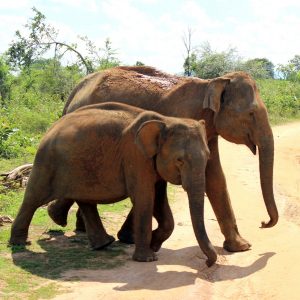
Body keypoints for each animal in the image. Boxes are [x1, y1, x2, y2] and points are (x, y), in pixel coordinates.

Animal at [9, 102, 216, 264]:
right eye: (180, 160)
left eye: (208, 156)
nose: (207, 263)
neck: (165, 120)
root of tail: (51, 127)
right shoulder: (135, 156)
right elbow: (145, 198)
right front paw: (148, 258)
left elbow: (158, 200)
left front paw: (155, 245)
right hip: (47, 160)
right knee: (33, 198)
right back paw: (19, 243)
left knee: (84, 199)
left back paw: (101, 242)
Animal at [47, 66, 278, 253]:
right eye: (251, 113)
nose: (263, 222)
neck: (210, 83)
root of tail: (73, 93)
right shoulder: (181, 121)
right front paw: (140, 240)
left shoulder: (206, 130)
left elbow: (215, 177)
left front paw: (241, 247)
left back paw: (68, 222)